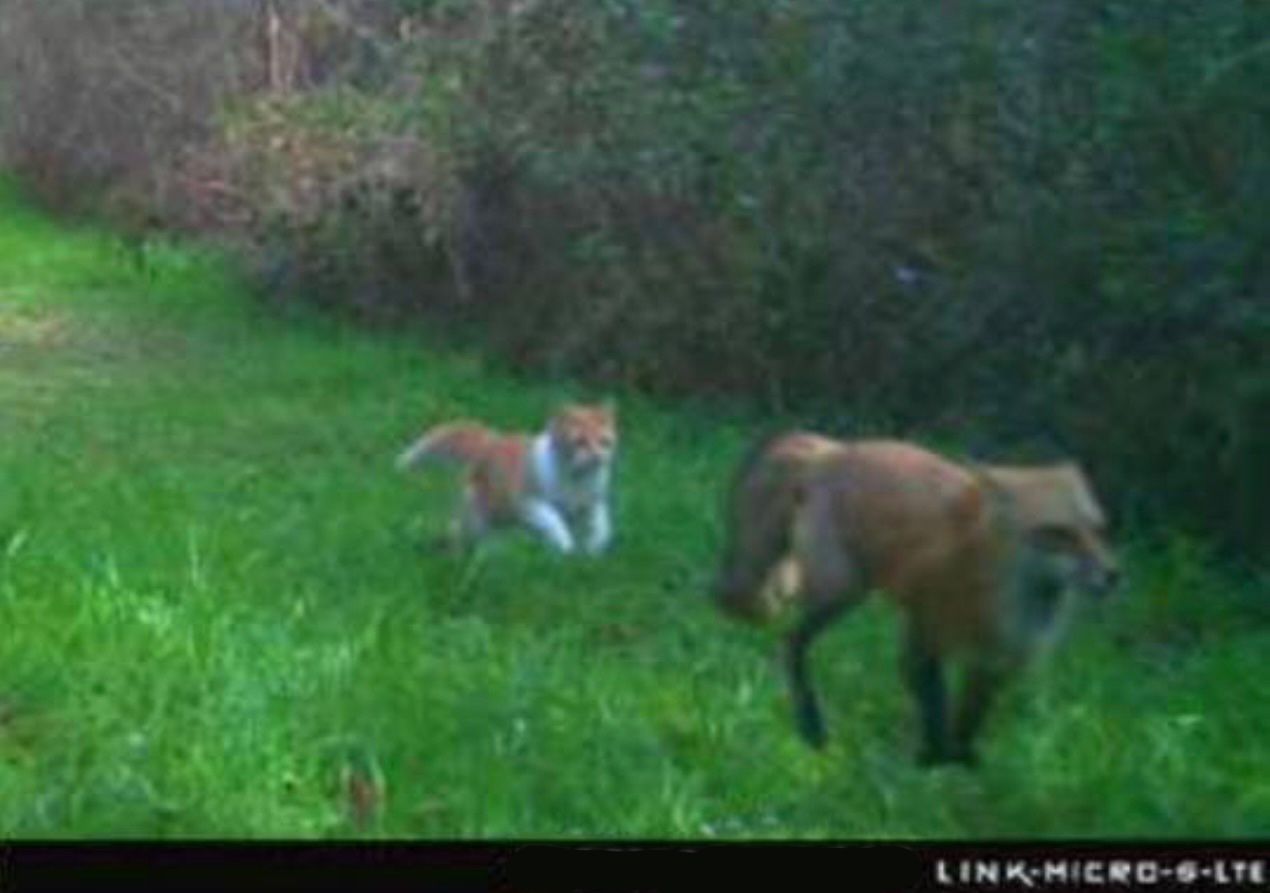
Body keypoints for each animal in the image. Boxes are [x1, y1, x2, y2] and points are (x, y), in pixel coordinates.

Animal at [395, 402, 617, 555]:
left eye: (604, 442)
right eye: (580, 442)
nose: (598, 456)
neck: (577, 479)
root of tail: (491, 440)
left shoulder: (593, 502)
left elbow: (603, 525)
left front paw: (594, 547)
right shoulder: (528, 502)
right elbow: (554, 520)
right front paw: (566, 545)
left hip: (501, 520)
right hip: (476, 513)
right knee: (465, 535)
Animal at [713, 431, 1120, 767]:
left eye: (1099, 530)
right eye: (1057, 533)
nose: (1113, 575)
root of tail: (834, 450)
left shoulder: (993, 662)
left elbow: (968, 720)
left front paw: (961, 763)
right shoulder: (923, 631)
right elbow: (934, 708)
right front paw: (931, 764)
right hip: (842, 591)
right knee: (790, 642)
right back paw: (812, 726)